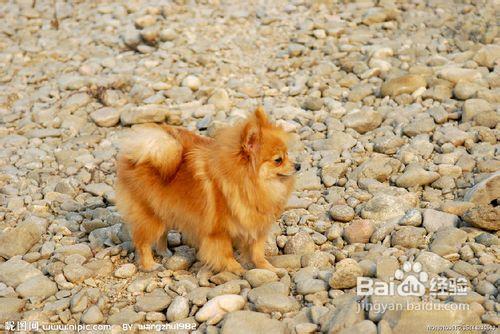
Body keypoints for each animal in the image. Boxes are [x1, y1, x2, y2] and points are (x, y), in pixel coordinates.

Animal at [115, 107, 298, 274]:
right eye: (278, 160)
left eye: (288, 154)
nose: (298, 165)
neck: (247, 182)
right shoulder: (219, 231)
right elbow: (226, 252)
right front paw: (236, 268)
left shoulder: (256, 225)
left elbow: (257, 251)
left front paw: (269, 268)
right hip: (149, 215)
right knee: (143, 242)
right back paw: (149, 265)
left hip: (163, 208)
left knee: (161, 234)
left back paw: (164, 251)